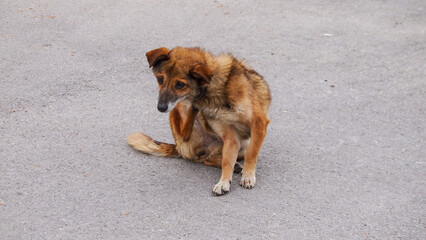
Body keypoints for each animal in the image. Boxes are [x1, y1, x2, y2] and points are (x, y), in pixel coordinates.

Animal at [128, 47, 272, 195]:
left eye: (180, 84)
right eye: (160, 79)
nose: (161, 108)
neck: (214, 90)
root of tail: (178, 147)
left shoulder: (258, 124)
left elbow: (251, 154)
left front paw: (247, 176)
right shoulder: (230, 138)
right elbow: (227, 162)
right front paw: (224, 181)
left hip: (243, 144)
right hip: (180, 111)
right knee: (203, 156)